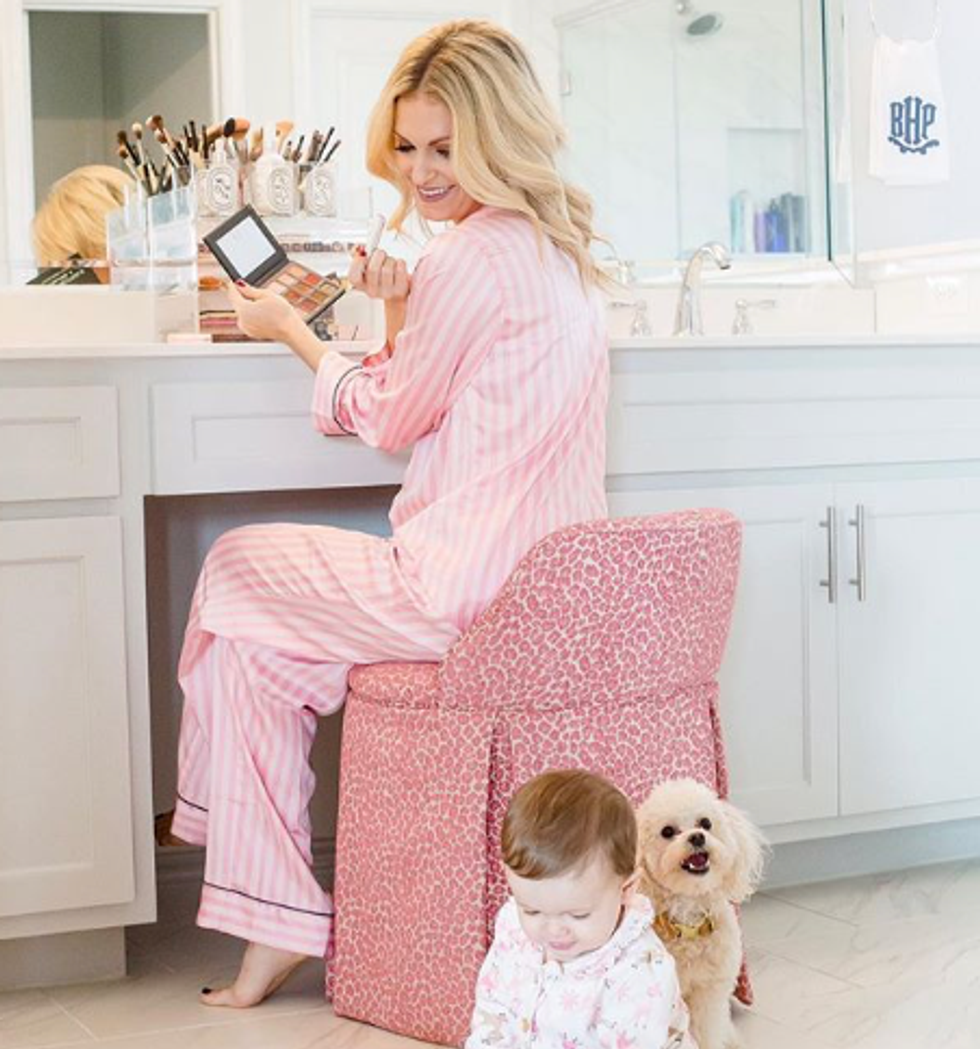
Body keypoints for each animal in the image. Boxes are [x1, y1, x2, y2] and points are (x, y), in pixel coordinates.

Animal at [636, 779, 766, 1049]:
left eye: (705, 823)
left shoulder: (708, 994)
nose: (697, 836)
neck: (688, 922)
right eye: (667, 831)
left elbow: (706, 1033)